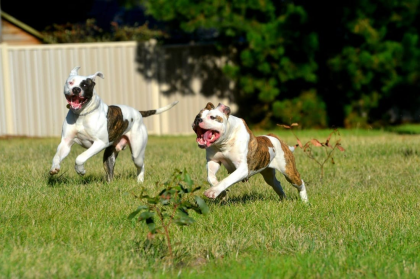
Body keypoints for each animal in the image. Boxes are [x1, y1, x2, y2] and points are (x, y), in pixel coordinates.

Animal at [50, 66, 178, 183]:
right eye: (70, 82)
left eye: (85, 85)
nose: (76, 89)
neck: (82, 114)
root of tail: (138, 112)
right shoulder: (66, 142)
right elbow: (57, 155)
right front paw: (54, 168)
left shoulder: (99, 143)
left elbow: (80, 157)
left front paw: (80, 170)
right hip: (109, 155)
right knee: (110, 171)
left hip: (137, 154)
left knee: (141, 165)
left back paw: (140, 181)